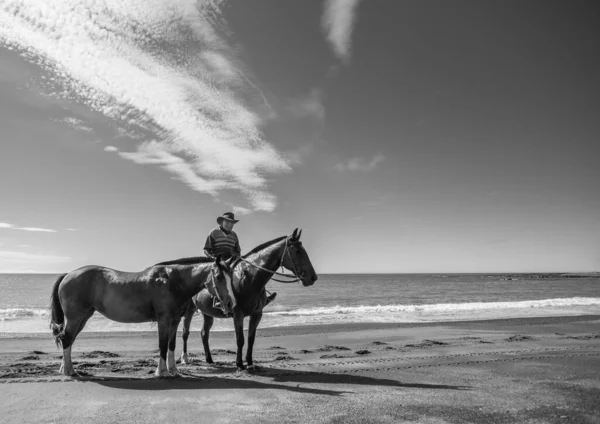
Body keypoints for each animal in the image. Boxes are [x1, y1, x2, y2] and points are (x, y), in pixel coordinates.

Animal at [48, 255, 236, 378]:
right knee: (67, 339)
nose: (230, 304)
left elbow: (171, 345)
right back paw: (69, 371)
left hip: (83, 317)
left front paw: (174, 370)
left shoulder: (175, 320)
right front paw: (162, 372)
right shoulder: (164, 319)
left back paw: (64, 368)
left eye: (231, 277)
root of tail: (68, 274)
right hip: (75, 318)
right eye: (219, 276)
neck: (173, 281)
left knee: (68, 339)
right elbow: (162, 344)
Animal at [159, 229, 318, 372]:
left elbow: (251, 338)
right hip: (189, 310)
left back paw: (209, 359)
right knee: (185, 333)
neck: (250, 278)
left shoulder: (257, 314)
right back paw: (184, 358)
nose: (313, 278)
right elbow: (240, 339)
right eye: (297, 251)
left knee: (204, 333)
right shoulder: (238, 314)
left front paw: (250, 362)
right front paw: (239, 364)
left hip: (207, 314)